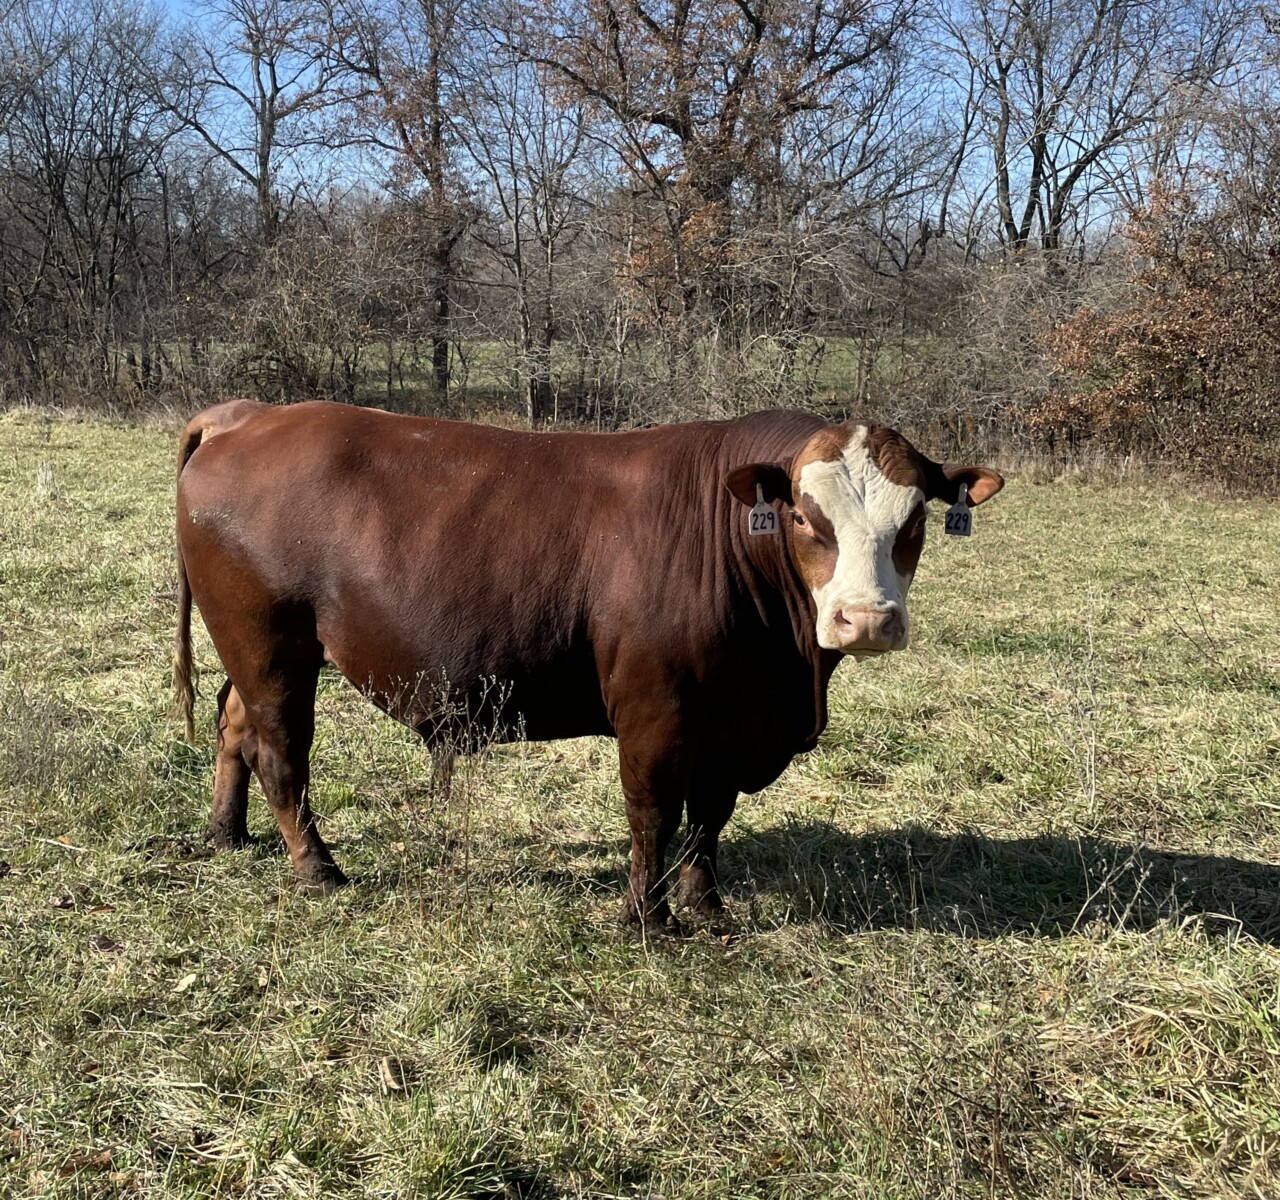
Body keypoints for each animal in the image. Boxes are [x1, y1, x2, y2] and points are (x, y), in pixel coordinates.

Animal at [173, 400, 1003, 934]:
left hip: (261, 651)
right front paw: (647, 918)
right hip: (271, 645)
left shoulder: (731, 720)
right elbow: (654, 813)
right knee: (282, 751)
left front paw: (706, 907)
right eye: (803, 515)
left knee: (235, 726)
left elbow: (710, 817)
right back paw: (317, 868)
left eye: (915, 519)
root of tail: (251, 414)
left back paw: (225, 832)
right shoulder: (655, 709)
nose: (866, 619)